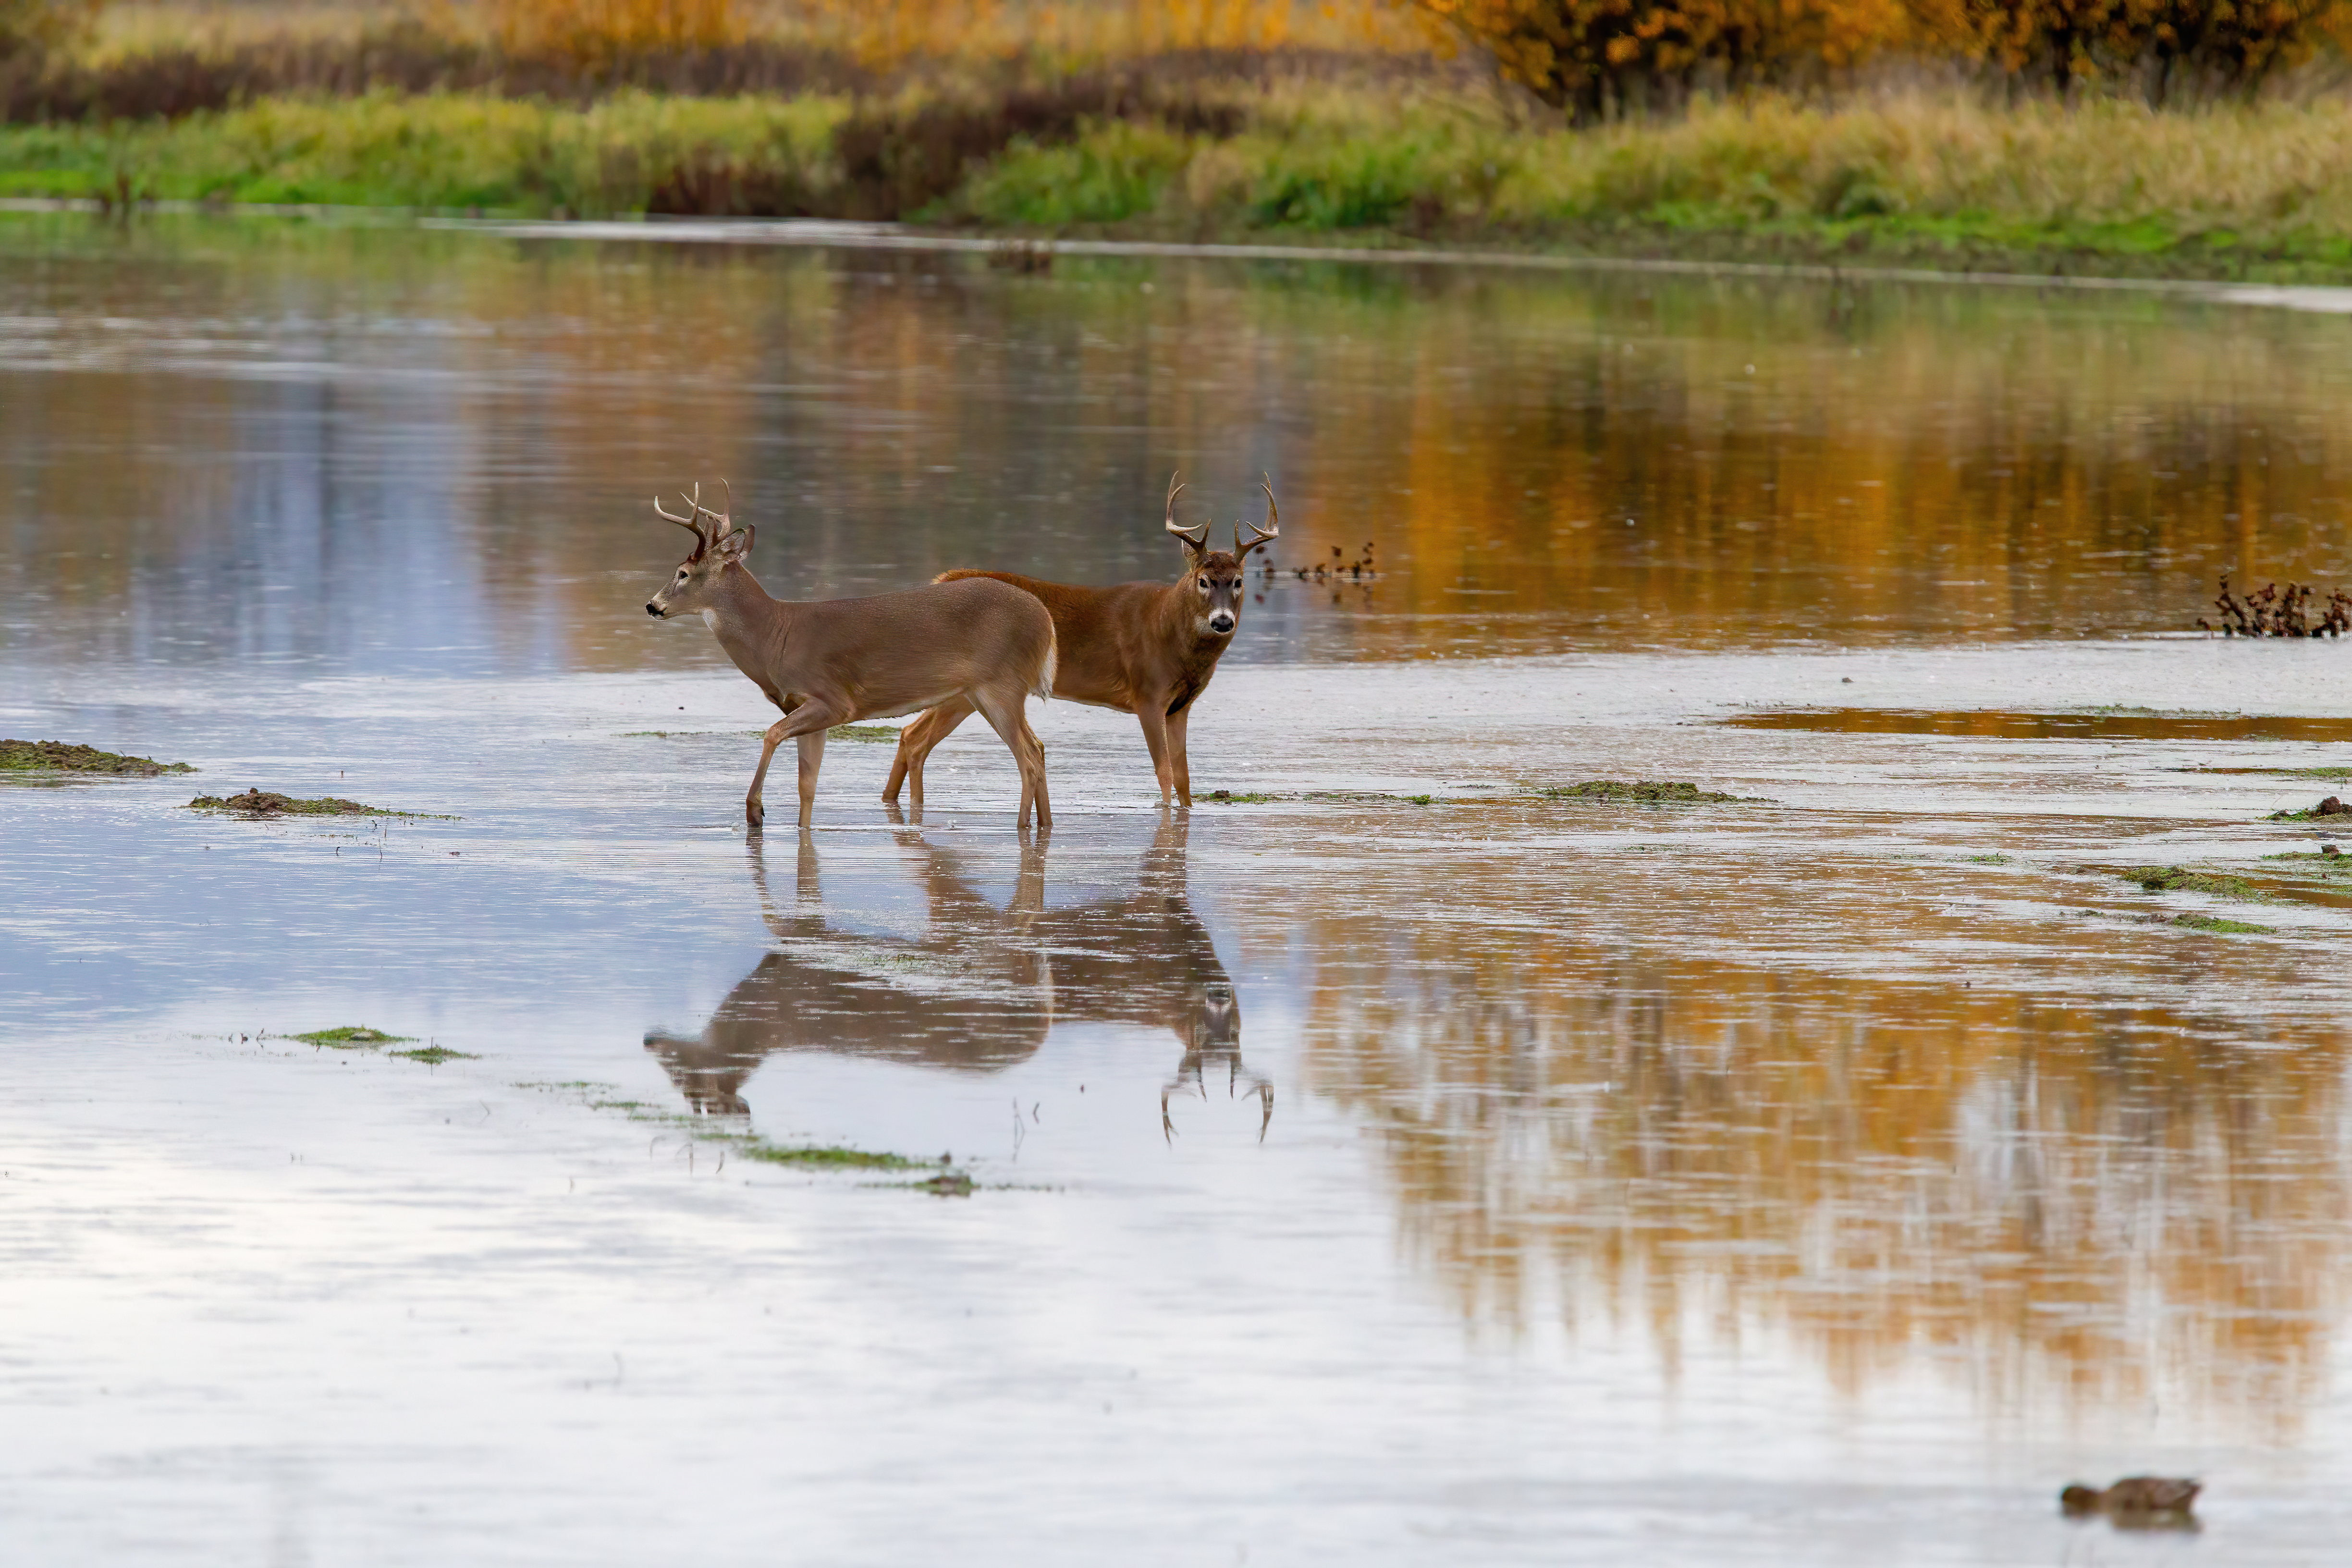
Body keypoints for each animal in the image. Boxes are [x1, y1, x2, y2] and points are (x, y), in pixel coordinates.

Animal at [643, 482, 1057, 833]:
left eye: (683, 573)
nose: (652, 606)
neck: (774, 636)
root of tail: (1047, 622)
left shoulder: (833, 700)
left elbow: (772, 735)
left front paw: (755, 812)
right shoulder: (809, 709)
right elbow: (807, 784)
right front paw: (799, 831)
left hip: (1001, 686)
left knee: (1027, 757)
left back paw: (1021, 828)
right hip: (980, 694)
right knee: (1037, 748)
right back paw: (1044, 827)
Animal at [882, 474, 1278, 813]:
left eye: (1239, 581)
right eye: (1204, 581)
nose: (1223, 622)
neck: (1168, 629)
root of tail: (940, 580)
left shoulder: (1181, 707)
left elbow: (1184, 781)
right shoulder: (1148, 694)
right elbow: (1165, 774)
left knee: (910, 735)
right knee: (915, 738)